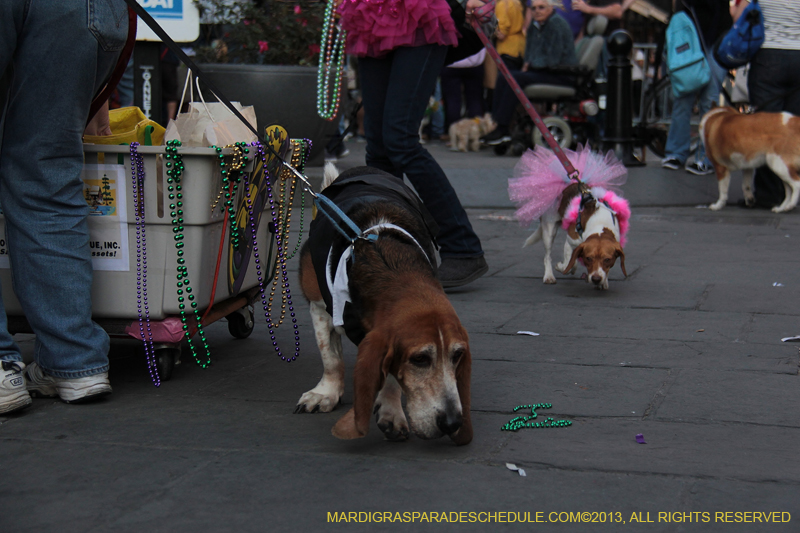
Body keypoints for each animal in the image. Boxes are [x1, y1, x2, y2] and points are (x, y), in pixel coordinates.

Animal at [512, 145, 632, 288]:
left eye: (608, 259)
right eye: (588, 258)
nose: (596, 279)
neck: (599, 224)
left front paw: (604, 282)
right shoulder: (571, 241)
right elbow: (569, 261)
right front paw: (563, 267)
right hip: (549, 229)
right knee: (547, 256)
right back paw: (549, 276)